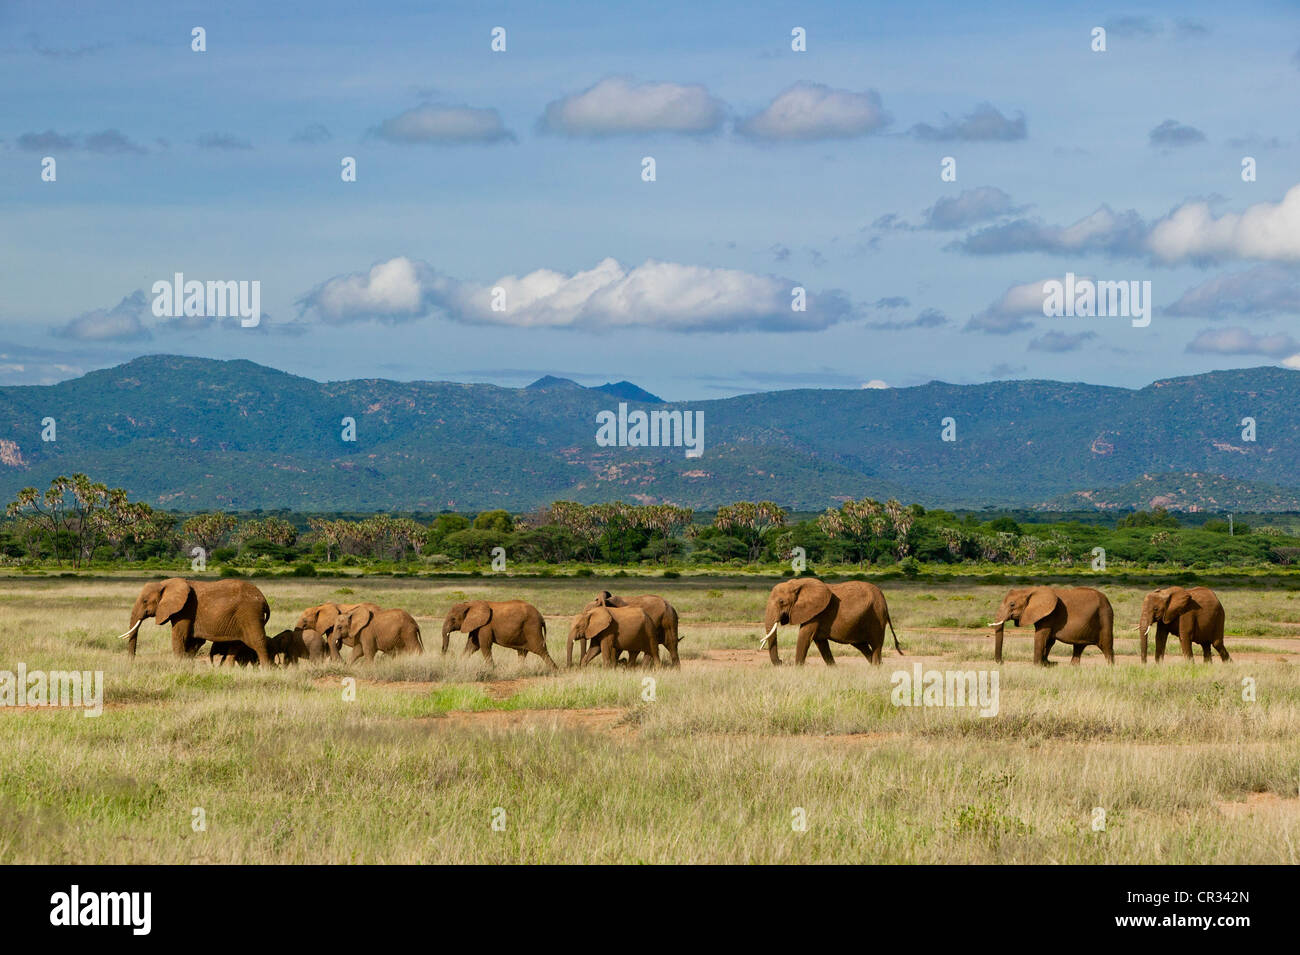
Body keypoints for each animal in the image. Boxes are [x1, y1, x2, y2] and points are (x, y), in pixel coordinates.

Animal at [118, 579, 270, 670]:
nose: (131, 662)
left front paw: (178, 667)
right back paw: (228, 669)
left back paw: (267, 670)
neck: (165, 583)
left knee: (257, 642)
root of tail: (264, 599)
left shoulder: (185, 609)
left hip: (250, 614)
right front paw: (187, 665)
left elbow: (179, 637)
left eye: (145, 601)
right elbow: (195, 642)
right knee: (236, 643)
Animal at [759, 579, 904, 670]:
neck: (797, 583)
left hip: (877, 616)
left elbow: (805, 636)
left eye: (781, 602)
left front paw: (798, 669)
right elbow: (820, 642)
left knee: (876, 645)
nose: (781, 661)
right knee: (863, 646)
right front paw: (834, 669)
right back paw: (877, 667)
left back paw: (876, 668)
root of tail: (884, 599)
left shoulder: (816, 613)